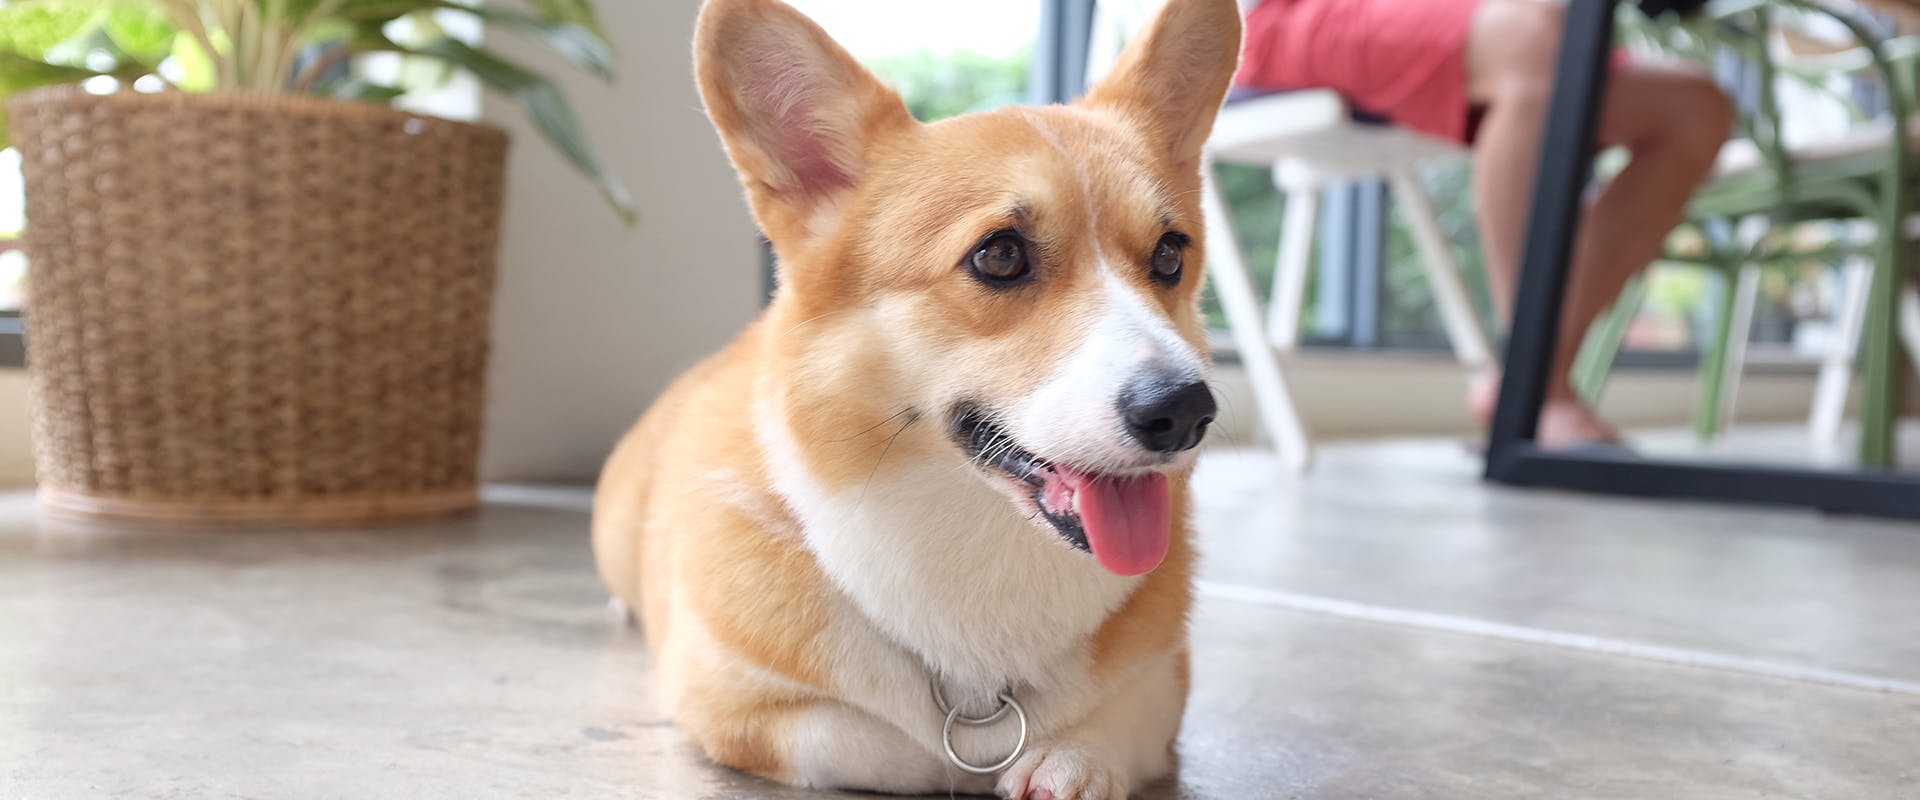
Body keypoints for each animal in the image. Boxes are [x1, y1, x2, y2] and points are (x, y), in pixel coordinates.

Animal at [591, 1, 1236, 790]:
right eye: (1000, 255)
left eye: (1170, 255)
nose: (1185, 411)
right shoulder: (729, 702)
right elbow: (886, 743)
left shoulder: (1162, 685)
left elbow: (1110, 726)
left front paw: (1071, 762)